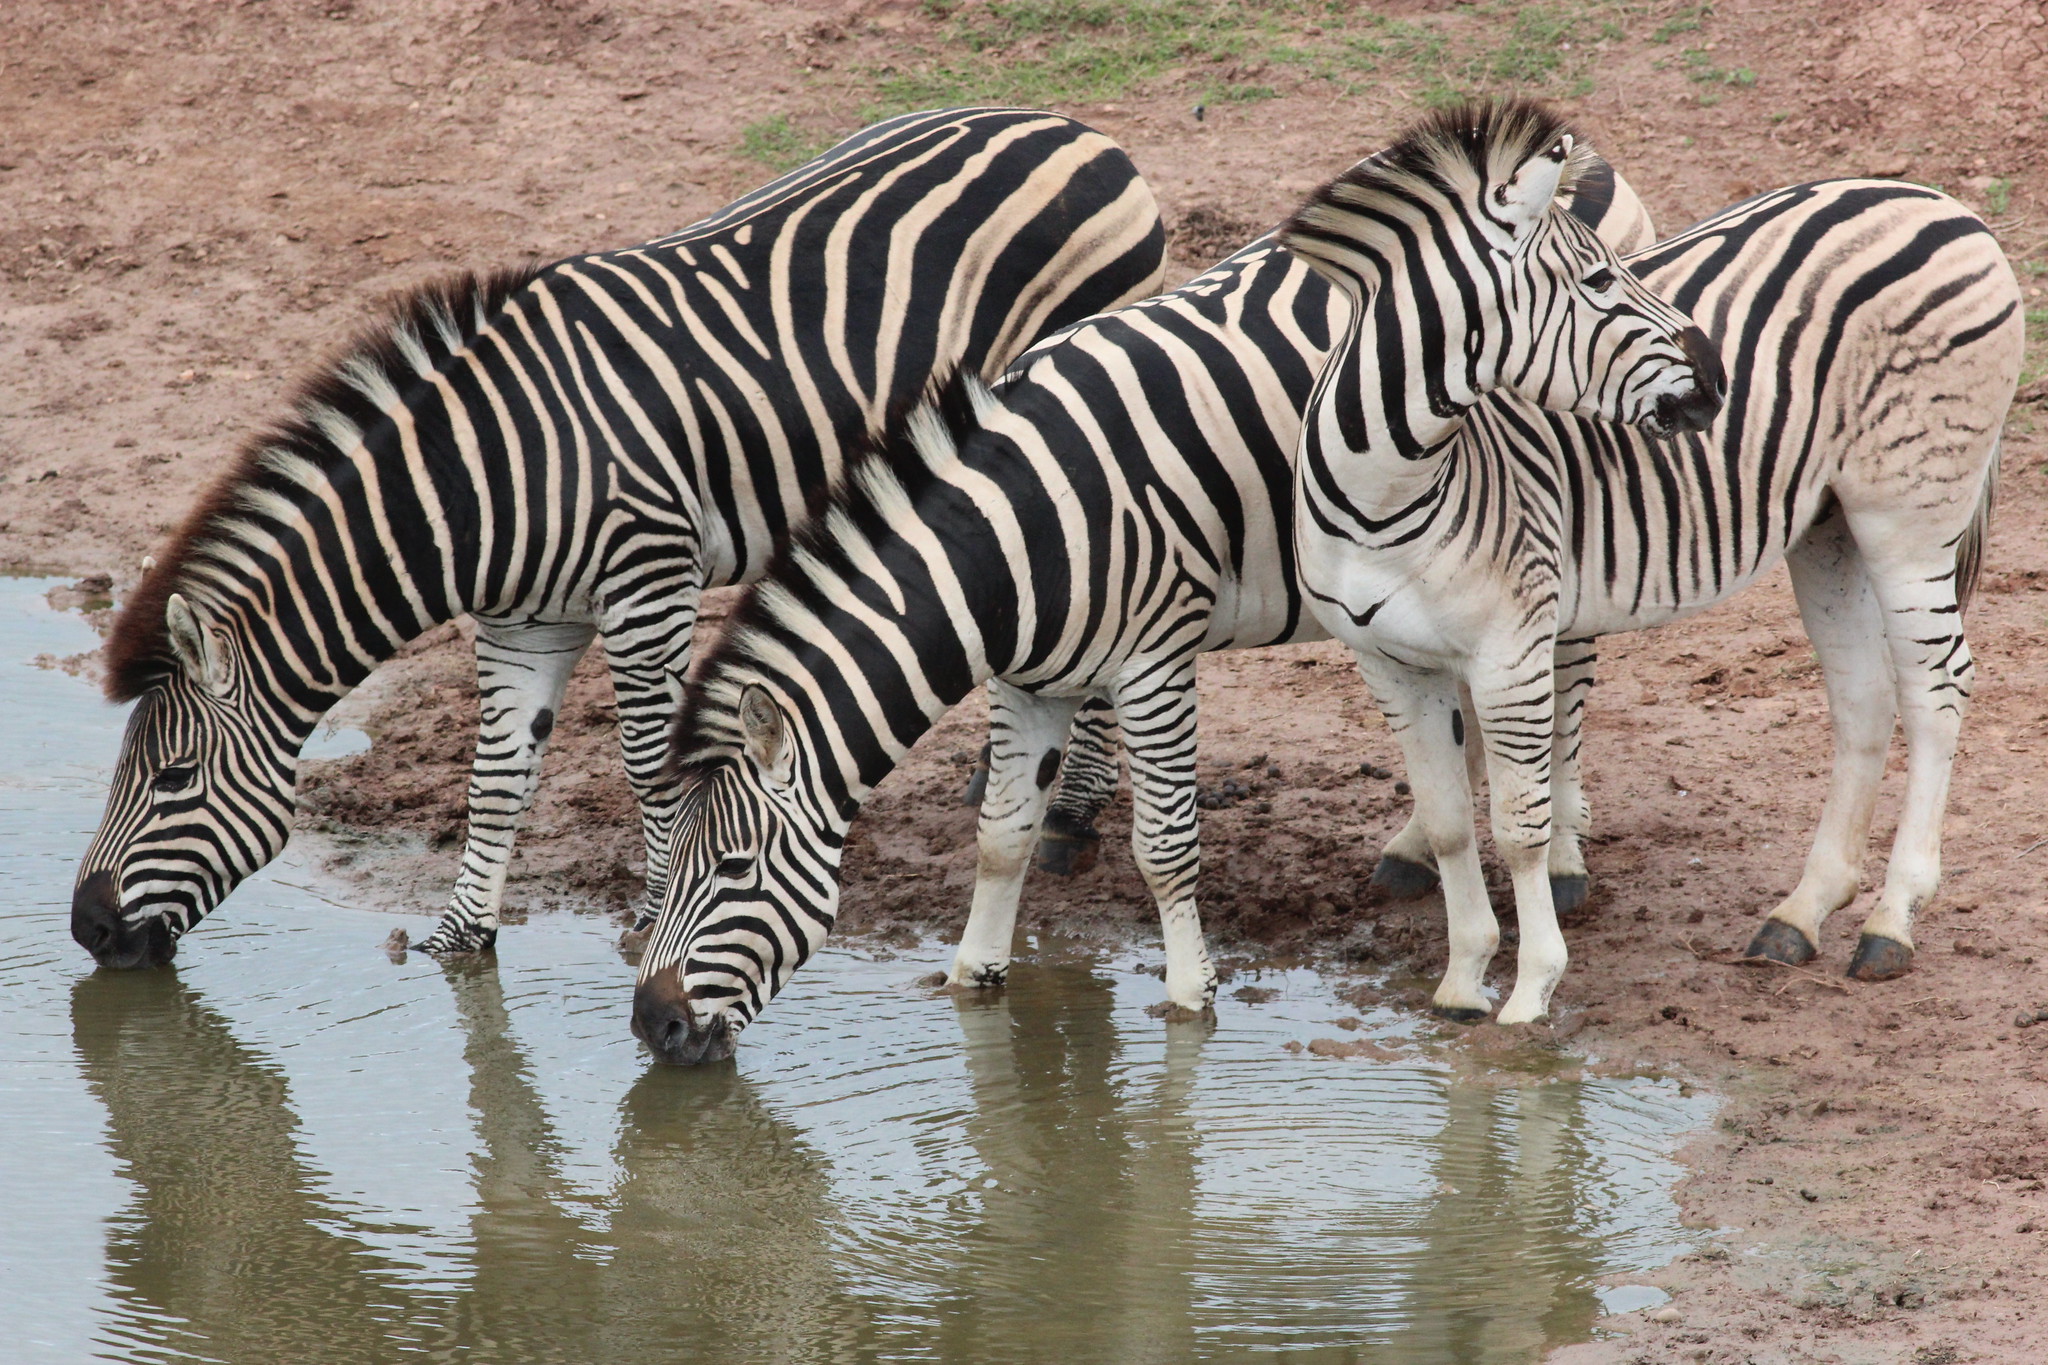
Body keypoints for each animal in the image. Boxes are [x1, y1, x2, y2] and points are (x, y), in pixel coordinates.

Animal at [68, 112, 1171, 978]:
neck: (487, 479)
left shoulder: (649, 581)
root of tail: (1086, 133)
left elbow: (645, 763)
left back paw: (1071, 814)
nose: (86, 932)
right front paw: (462, 937)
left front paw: (652, 910)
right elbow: (496, 774)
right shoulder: (521, 623)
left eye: (171, 781)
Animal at [622, 104, 1712, 1064]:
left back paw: (1561, 858)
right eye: (666, 869)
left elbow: (1164, 845)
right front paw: (974, 972)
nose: (651, 1026)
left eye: (727, 869)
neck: (1015, 536)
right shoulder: (1027, 680)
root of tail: (1593, 162)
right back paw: (1414, 845)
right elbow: (1000, 835)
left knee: (1566, 672)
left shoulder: (1152, 661)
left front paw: (1189, 996)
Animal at [1286, 106, 2023, 1019]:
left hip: (1908, 513)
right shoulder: (1385, 661)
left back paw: (1891, 920)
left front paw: (1530, 992)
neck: (1384, 493)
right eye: (1601, 280)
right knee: (1864, 697)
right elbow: (1451, 821)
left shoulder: (1509, 650)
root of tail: (1945, 204)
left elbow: (1520, 829)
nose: (1715, 378)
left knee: (1936, 691)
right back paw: (1802, 912)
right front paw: (1460, 984)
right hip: (1830, 527)